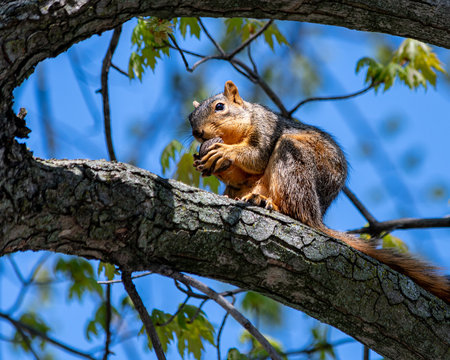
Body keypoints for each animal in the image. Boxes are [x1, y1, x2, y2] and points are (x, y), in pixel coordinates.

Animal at [189, 80, 450, 302]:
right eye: (190, 118)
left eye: (220, 107)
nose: (197, 133)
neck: (238, 130)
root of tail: (317, 216)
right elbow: (242, 173)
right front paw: (208, 163)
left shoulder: (267, 129)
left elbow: (257, 157)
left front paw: (225, 152)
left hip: (293, 160)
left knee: (296, 210)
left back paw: (268, 202)